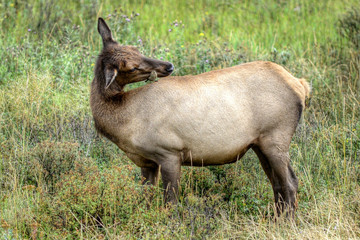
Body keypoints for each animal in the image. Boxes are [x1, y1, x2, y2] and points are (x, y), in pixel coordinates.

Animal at [89, 16, 310, 216]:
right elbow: (147, 199)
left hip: (276, 136)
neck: (126, 124)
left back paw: (286, 222)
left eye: (136, 50)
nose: (168, 65)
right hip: (260, 143)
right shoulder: (147, 162)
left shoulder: (169, 151)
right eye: (132, 65)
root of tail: (300, 85)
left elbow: (171, 202)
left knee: (290, 182)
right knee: (277, 184)